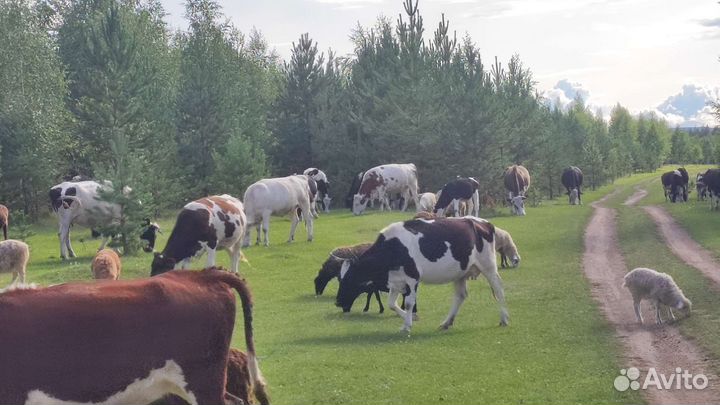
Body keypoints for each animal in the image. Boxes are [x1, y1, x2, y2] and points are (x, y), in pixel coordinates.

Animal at [336, 216, 508, 332]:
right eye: (340, 279)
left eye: (349, 279)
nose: (337, 302)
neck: (393, 247)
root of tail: (483, 222)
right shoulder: (396, 280)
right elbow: (391, 304)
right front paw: (409, 317)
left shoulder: (412, 278)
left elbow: (409, 303)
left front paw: (407, 325)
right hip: (460, 273)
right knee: (461, 295)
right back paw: (447, 322)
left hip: (488, 265)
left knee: (499, 289)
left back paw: (504, 318)